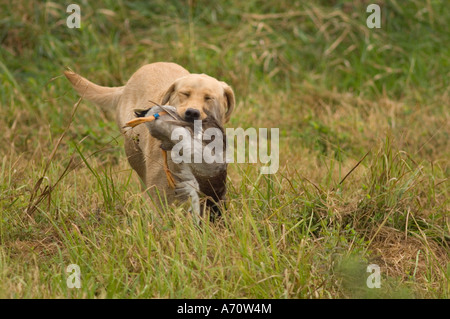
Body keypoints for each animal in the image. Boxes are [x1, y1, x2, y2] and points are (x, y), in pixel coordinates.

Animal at [64, 62, 236, 218]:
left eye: (209, 98)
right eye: (184, 93)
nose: (192, 113)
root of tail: (127, 85)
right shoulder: (159, 192)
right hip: (134, 154)